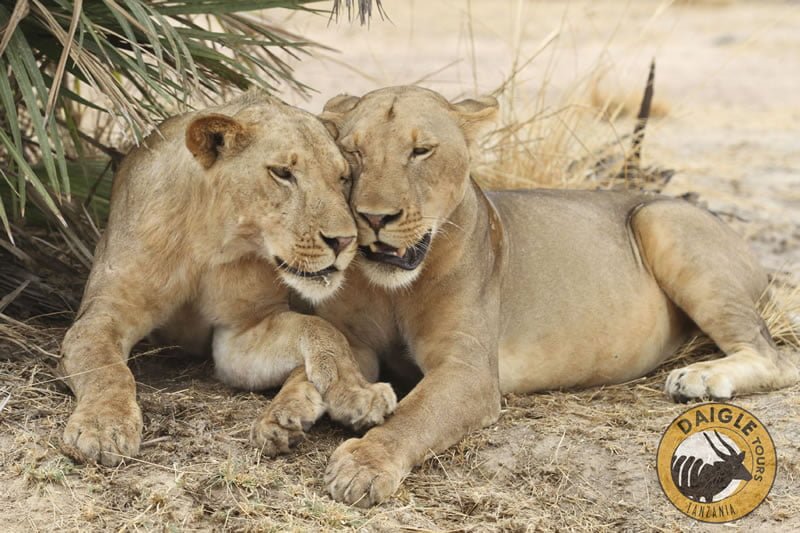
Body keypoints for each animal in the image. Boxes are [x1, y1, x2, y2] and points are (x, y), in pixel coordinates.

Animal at [59, 90, 396, 466]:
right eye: (282, 173)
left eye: (343, 178)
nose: (344, 241)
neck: (212, 242)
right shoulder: (105, 313)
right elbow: (105, 367)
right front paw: (103, 426)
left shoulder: (239, 334)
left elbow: (322, 331)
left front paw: (357, 393)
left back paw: (285, 418)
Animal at [308, 85, 799, 507]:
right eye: (353, 151)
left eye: (421, 151)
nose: (374, 217)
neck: (395, 291)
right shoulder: (358, 343)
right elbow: (336, 362)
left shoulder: (470, 371)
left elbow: (416, 415)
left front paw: (363, 464)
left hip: (662, 220)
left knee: (773, 357)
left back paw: (698, 378)